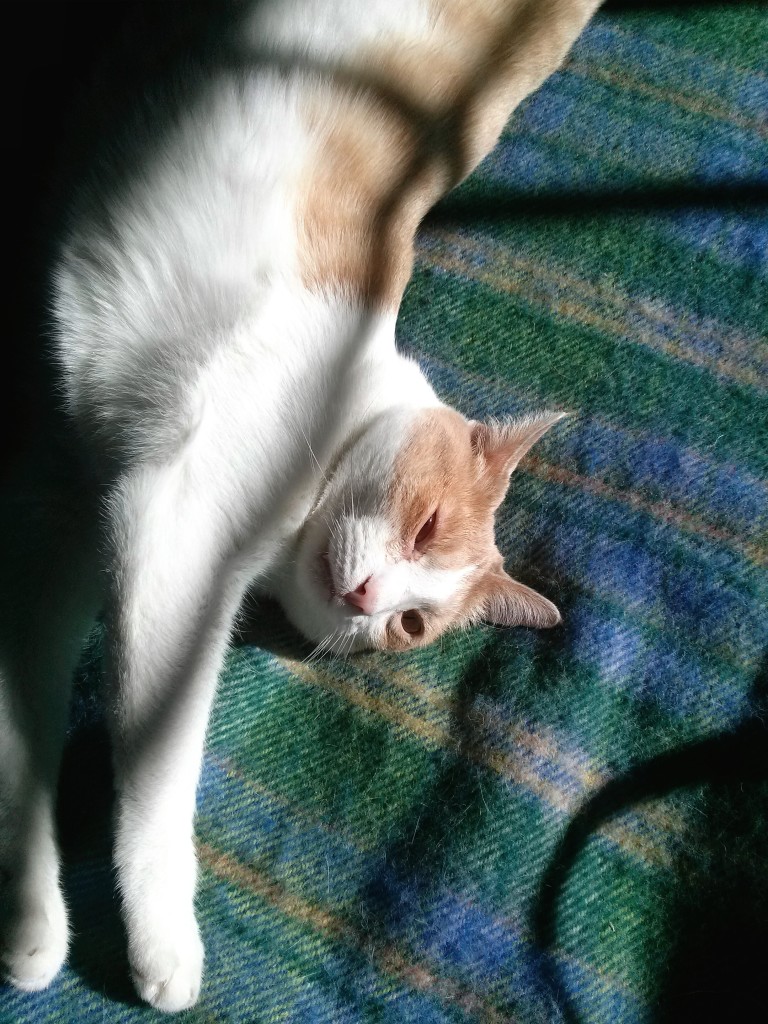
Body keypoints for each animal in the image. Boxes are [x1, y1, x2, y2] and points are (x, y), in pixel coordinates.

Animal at [0, 0, 602, 1007]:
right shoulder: (169, 529)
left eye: (410, 628)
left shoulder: (60, 515)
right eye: (426, 525)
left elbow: (22, 728)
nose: (369, 600)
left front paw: (30, 918)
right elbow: (159, 759)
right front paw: (163, 938)